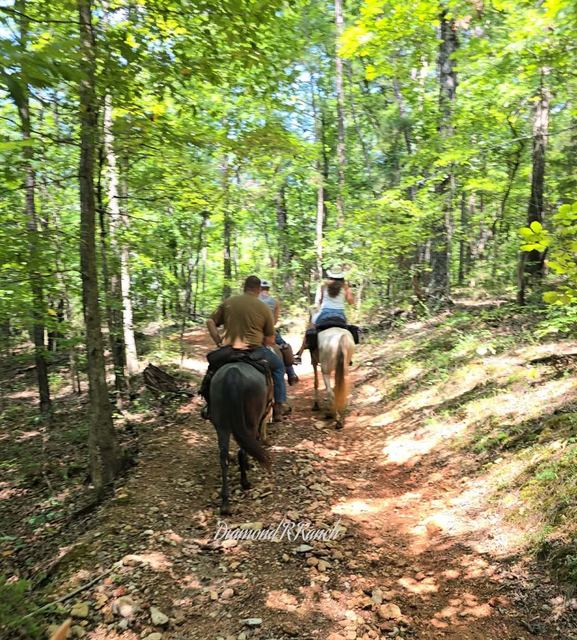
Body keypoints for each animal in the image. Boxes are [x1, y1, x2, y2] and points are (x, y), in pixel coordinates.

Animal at [209, 362, 272, 515]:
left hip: (222, 426)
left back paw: (225, 503)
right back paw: (245, 482)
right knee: (242, 450)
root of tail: (232, 374)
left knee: (223, 458)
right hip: (250, 422)